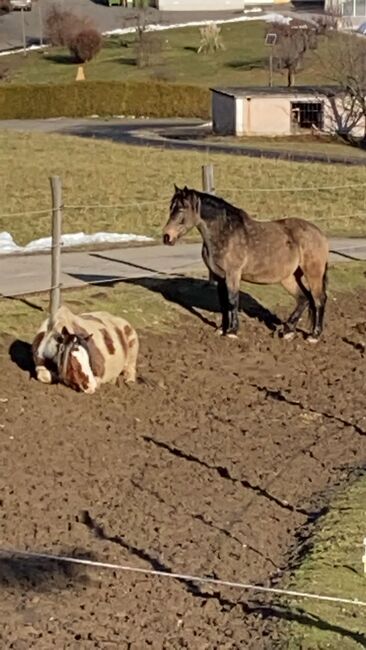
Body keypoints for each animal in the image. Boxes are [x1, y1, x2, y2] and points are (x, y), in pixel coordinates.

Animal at [163, 185, 328, 342]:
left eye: (182, 209)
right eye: (171, 208)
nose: (167, 237)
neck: (225, 233)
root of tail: (319, 234)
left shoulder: (233, 274)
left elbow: (232, 300)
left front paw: (232, 331)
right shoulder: (220, 276)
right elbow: (224, 302)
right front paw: (222, 329)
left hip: (313, 273)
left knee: (318, 299)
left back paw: (314, 335)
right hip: (289, 277)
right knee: (304, 299)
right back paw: (288, 331)